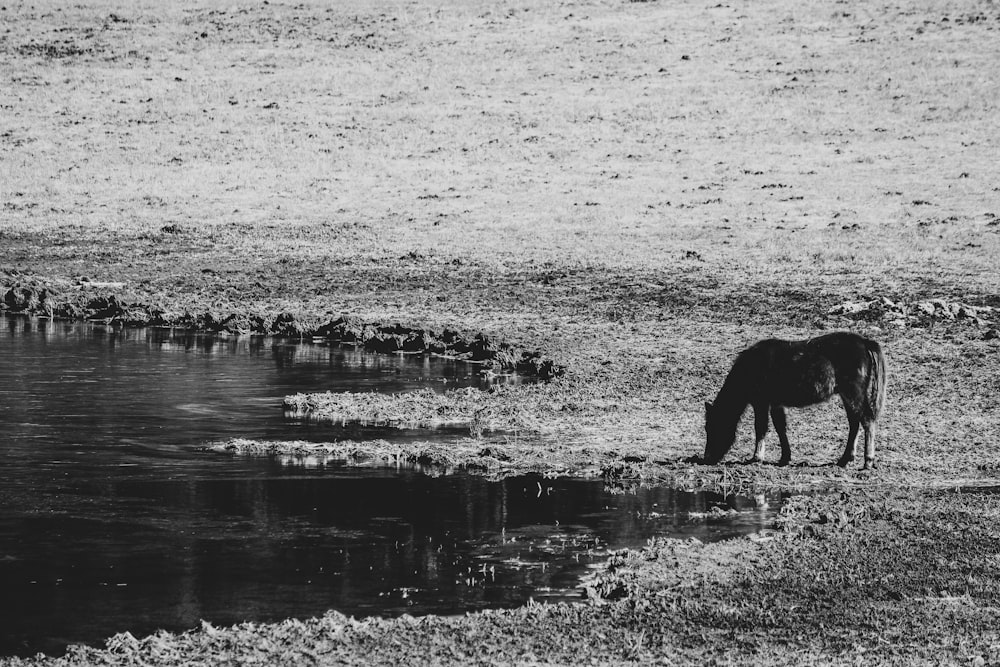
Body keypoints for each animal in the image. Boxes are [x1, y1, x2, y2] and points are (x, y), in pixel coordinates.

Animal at [700, 332, 888, 470]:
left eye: (713, 427)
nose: (707, 458)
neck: (751, 367)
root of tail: (864, 342)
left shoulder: (761, 402)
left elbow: (761, 427)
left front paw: (756, 457)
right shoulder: (776, 403)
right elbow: (780, 427)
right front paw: (785, 457)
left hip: (854, 393)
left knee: (867, 420)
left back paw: (868, 461)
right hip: (847, 395)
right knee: (855, 423)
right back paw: (845, 459)